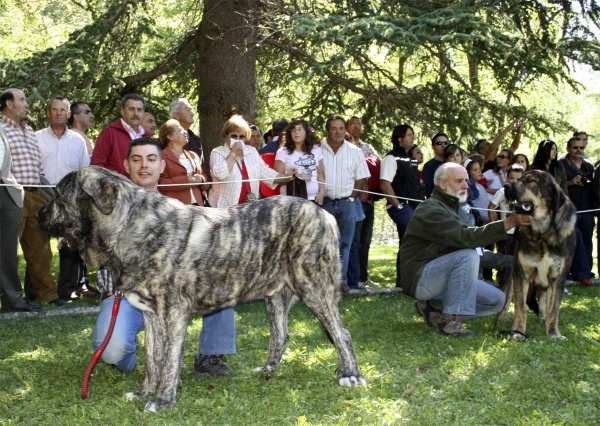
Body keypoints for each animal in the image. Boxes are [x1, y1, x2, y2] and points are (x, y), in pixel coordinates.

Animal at [38, 167, 366, 412]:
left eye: (59, 195)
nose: (39, 213)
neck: (128, 226)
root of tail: (323, 213)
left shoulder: (173, 313)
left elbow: (169, 361)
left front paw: (163, 401)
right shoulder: (151, 315)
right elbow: (152, 360)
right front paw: (144, 393)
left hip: (313, 286)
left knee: (342, 333)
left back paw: (350, 375)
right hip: (275, 295)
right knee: (281, 334)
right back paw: (268, 369)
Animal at [506, 171, 576, 342]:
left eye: (531, 181)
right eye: (518, 178)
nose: (506, 186)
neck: (542, 233)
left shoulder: (558, 279)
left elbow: (554, 310)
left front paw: (553, 333)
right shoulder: (521, 274)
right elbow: (521, 308)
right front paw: (518, 331)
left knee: (544, 300)